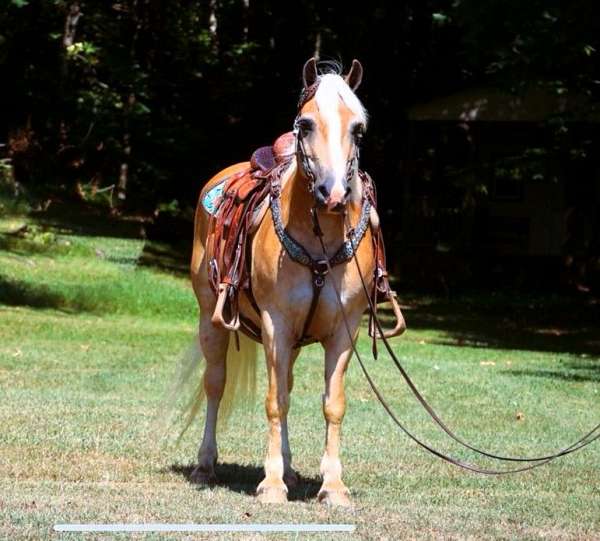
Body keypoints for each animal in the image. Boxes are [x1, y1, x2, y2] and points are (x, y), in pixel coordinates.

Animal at [188, 58, 404, 502]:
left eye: (358, 128)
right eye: (305, 124)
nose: (333, 193)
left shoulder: (343, 330)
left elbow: (332, 403)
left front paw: (332, 486)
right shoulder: (277, 324)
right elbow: (275, 401)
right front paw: (271, 485)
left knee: (282, 381)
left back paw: (287, 468)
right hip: (209, 318)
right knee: (215, 384)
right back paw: (205, 466)